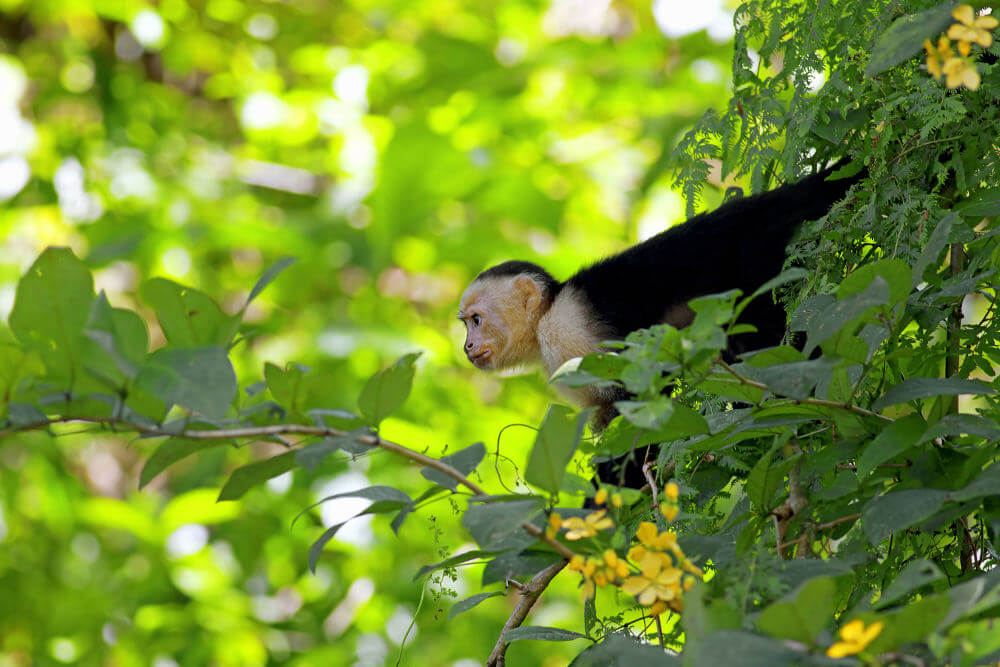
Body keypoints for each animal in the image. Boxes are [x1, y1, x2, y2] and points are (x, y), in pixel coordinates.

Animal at [458, 160, 860, 486]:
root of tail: (760, 206)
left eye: (476, 321)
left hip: (759, 255)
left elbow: (642, 394)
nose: (466, 346)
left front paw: (604, 498)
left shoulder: (567, 330)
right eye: (465, 324)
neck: (544, 317)